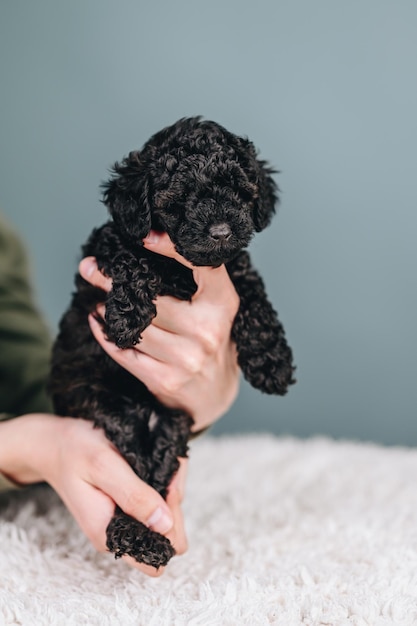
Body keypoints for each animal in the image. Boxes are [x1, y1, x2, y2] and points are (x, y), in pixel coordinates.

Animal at [48, 116, 294, 564]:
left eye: (238, 190)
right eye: (181, 198)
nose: (221, 231)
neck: (185, 270)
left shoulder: (235, 267)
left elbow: (253, 296)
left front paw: (272, 362)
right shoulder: (111, 244)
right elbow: (133, 255)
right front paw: (127, 317)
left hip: (173, 421)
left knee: (156, 471)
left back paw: (147, 535)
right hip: (106, 407)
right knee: (134, 473)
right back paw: (137, 534)